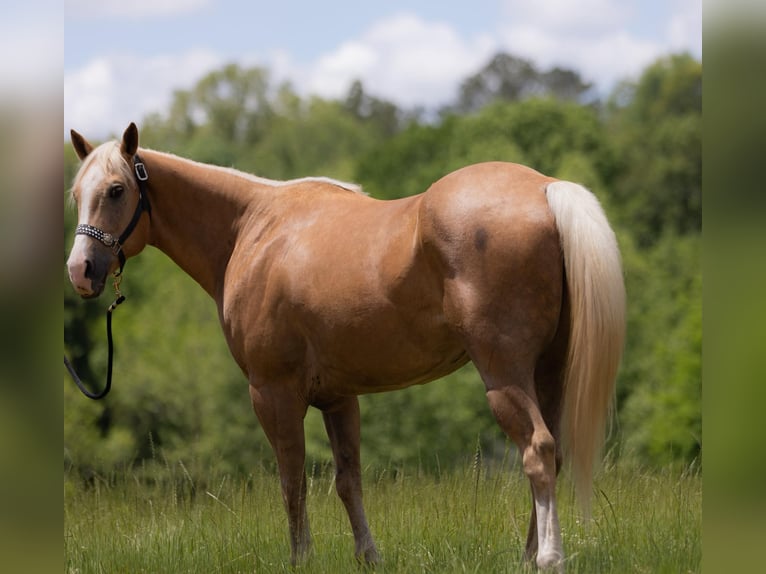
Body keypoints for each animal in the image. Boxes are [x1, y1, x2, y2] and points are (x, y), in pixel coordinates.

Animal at [69, 122, 628, 572]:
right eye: (76, 193)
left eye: (116, 189)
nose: (81, 270)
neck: (253, 228)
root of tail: (546, 189)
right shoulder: (340, 397)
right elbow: (347, 479)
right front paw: (368, 556)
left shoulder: (273, 393)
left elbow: (292, 479)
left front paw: (301, 558)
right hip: (548, 372)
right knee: (553, 453)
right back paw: (529, 555)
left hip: (505, 375)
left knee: (538, 450)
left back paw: (549, 558)